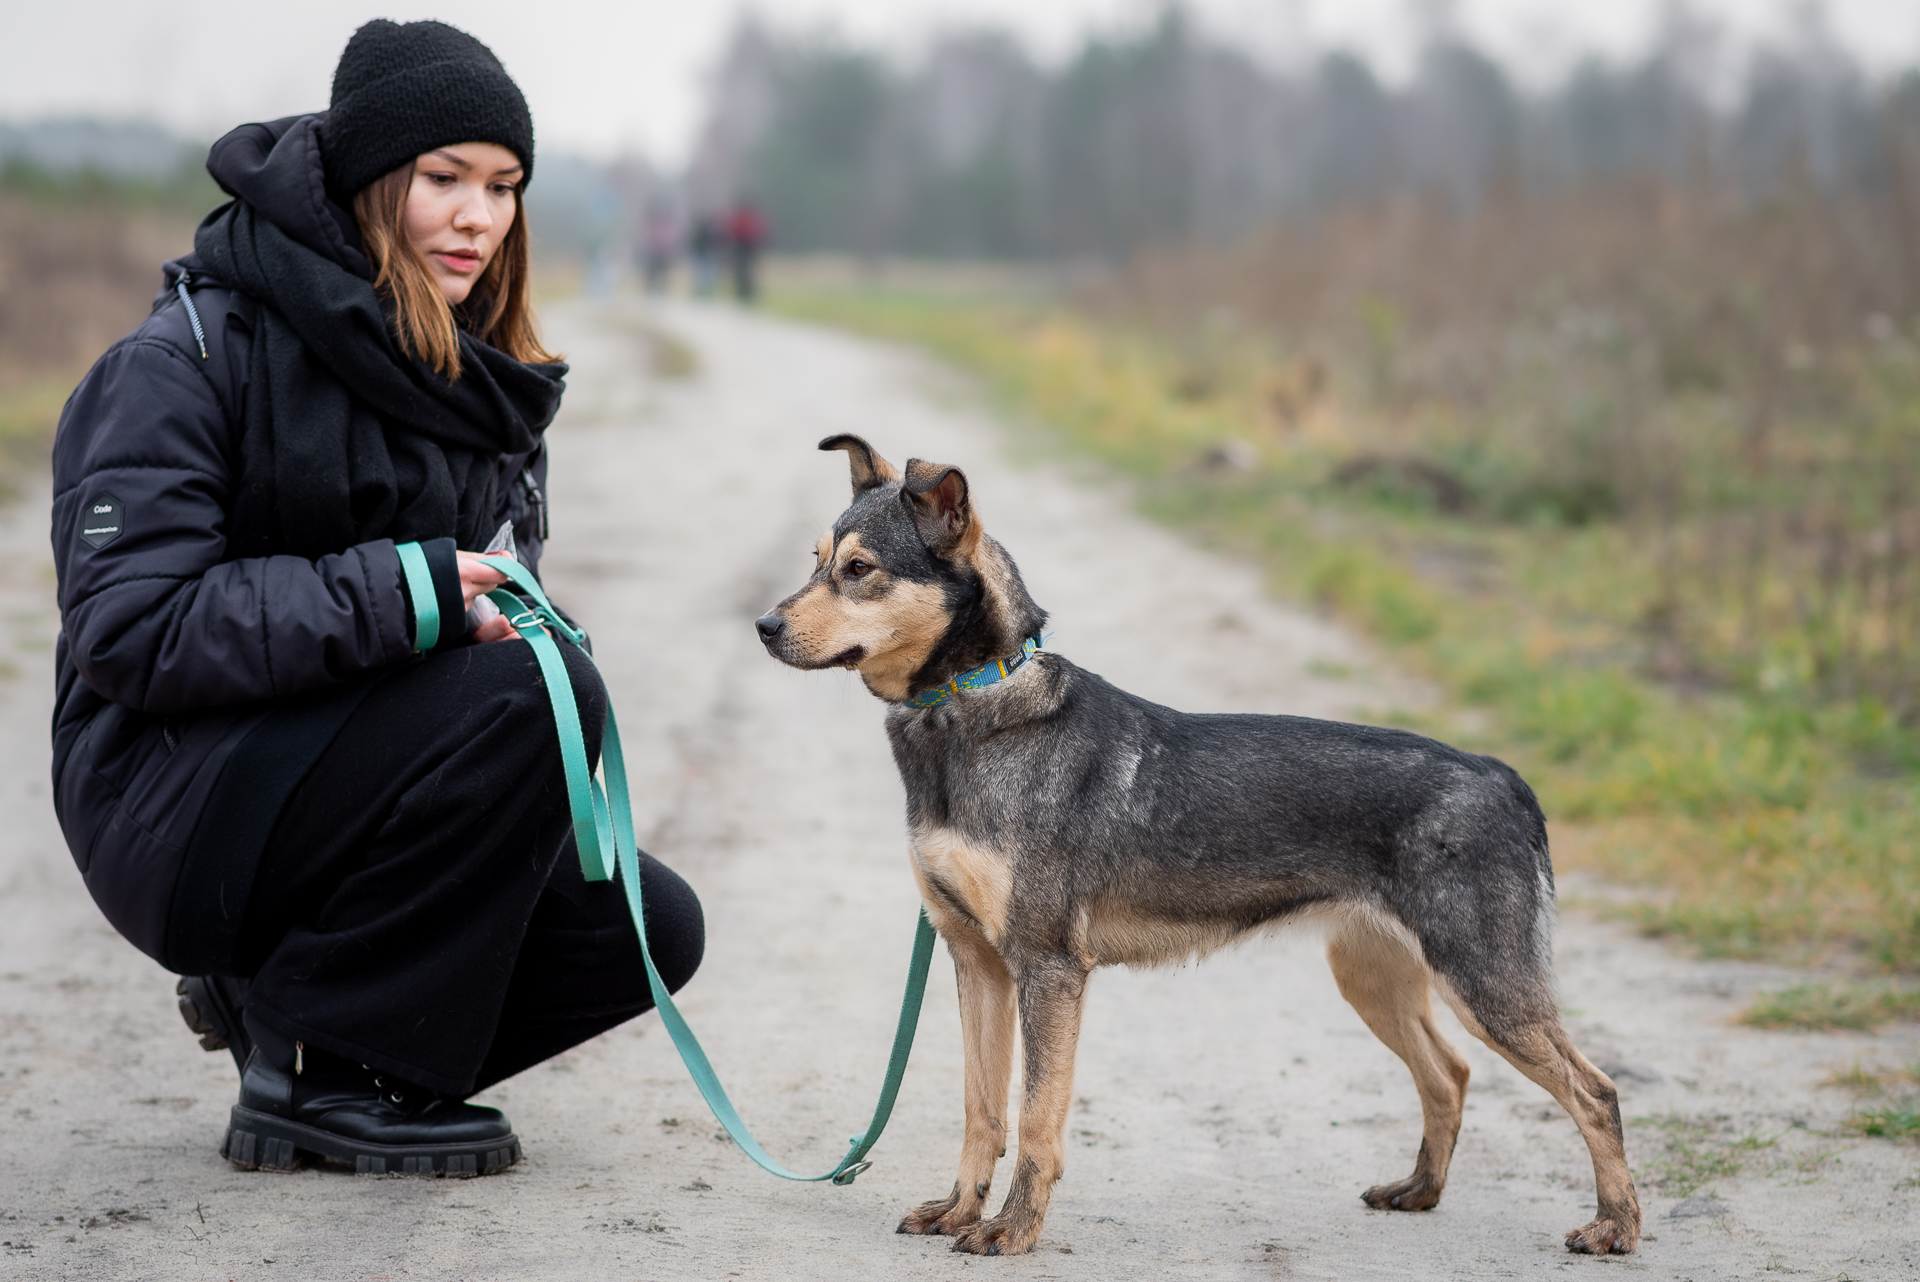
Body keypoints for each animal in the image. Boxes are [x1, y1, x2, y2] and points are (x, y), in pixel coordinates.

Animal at [748, 435, 1635, 1258]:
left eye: (860, 569)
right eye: (818, 562)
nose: (762, 627)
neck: (974, 705)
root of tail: (1503, 776)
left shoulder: (1047, 969)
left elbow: (1035, 1121)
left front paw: (1013, 1230)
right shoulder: (977, 962)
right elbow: (982, 1109)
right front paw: (959, 1212)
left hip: (1484, 980)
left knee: (1594, 1092)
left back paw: (1614, 1227)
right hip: (1374, 976)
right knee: (1449, 1074)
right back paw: (1419, 1190)